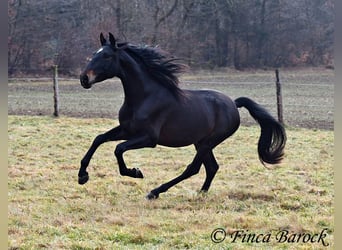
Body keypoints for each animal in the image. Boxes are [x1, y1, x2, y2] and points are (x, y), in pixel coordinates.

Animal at [78, 32, 286, 199]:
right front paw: (82, 176)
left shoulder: (149, 138)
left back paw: (155, 192)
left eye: (106, 56)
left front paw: (135, 172)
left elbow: (118, 149)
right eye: (95, 53)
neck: (144, 97)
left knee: (193, 168)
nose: (84, 79)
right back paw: (201, 193)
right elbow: (99, 139)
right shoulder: (126, 130)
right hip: (201, 142)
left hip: (209, 142)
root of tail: (234, 104)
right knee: (212, 167)